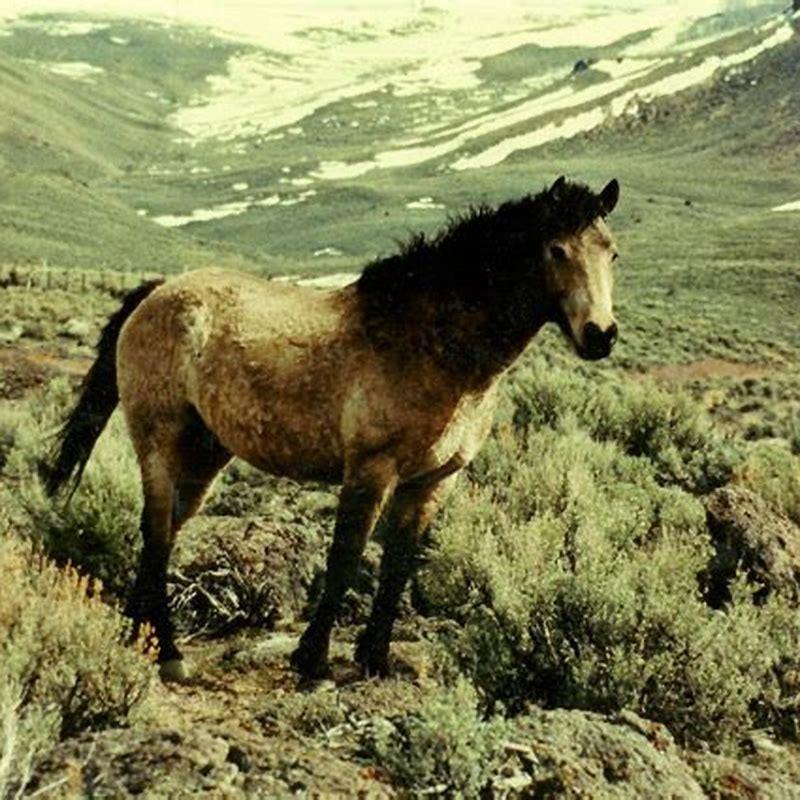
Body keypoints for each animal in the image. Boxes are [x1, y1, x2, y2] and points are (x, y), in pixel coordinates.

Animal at [45, 175, 621, 683]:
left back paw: (136, 636)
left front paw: (375, 660)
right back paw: (167, 653)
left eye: (611, 253)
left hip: (205, 455)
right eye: (556, 250)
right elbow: (346, 557)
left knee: (162, 536)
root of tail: (158, 291)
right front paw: (313, 661)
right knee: (158, 533)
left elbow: (397, 566)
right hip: (160, 441)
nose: (601, 335)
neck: (432, 344)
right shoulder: (371, 470)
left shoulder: (433, 482)